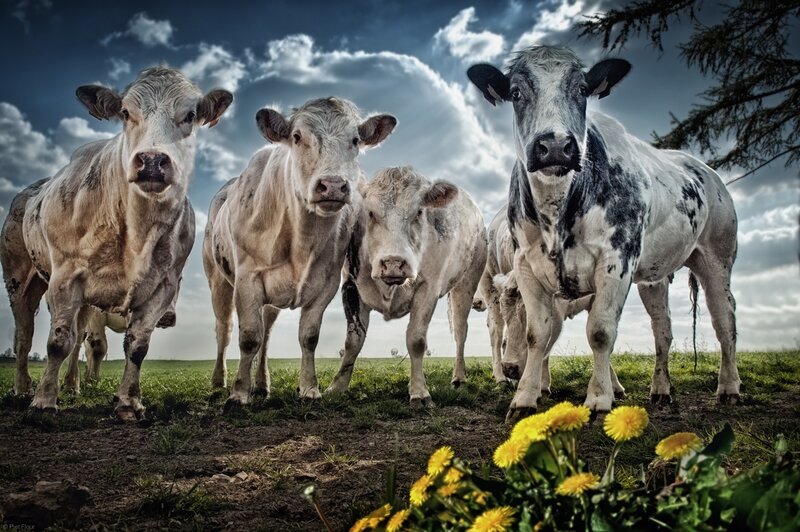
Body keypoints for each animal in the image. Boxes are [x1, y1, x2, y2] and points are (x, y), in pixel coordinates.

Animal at [0, 67, 232, 420]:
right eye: (125, 112)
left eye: (190, 115)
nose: (152, 160)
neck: (136, 231)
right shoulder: (65, 278)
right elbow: (57, 342)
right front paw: (44, 401)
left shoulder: (162, 288)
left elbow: (136, 346)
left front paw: (128, 402)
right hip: (19, 280)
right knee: (25, 337)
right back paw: (24, 388)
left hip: (83, 301)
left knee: (76, 336)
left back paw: (72, 385)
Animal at [203, 98, 396, 410]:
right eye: (297, 136)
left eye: (355, 140)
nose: (333, 185)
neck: (301, 239)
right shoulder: (246, 279)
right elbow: (248, 337)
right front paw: (239, 393)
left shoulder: (327, 284)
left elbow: (308, 337)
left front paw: (308, 388)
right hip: (217, 280)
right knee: (224, 330)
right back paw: (219, 381)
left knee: (267, 333)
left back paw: (262, 384)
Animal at [325, 166, 487, 406]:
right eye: (370, 213)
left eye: (418, 212)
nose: (393, 262)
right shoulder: (351, 285)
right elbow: (353, 341)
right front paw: (337, 387)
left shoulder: (428, 288)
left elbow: (416, 340)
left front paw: (419, 392)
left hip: (466, 284)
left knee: (460, 331)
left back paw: (459, 378)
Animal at [468, 45, 739, 420]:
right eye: (516, 93)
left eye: (582, 90)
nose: (555, 146)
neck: (558, 211)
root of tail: (707, 172)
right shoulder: (526, 265)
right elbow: (538, 334)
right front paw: (524, 399)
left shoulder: (616, 260)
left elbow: (599, 332)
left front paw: (598, 399)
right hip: (654, 277)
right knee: (663, 329)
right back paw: (661, 389)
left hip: (717, 256)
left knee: (724, 319)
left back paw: (728, 388)